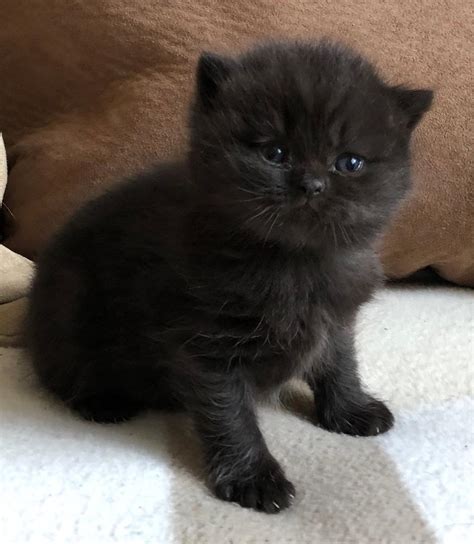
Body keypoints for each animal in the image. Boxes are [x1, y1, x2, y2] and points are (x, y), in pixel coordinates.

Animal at [27, 42, 432, 516]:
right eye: (275, 154)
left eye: (349, 162)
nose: (312, 184)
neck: (294, 263)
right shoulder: (208, 344)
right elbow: (230, 415)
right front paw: (252, 477)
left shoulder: (335, 321)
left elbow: (339, 365)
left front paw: (351, 409)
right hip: (68, 305)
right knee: (64, 371)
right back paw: (102, 400)